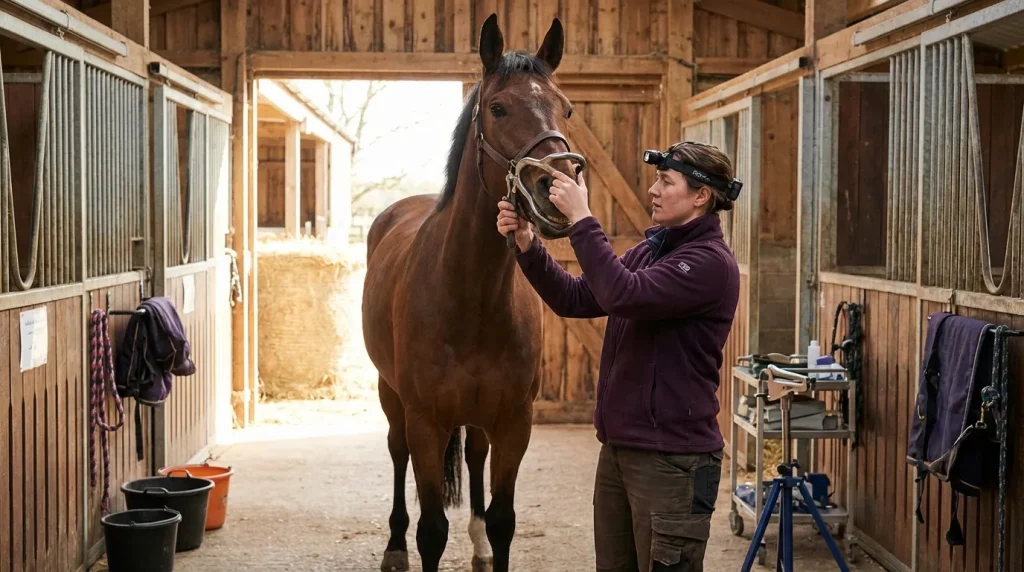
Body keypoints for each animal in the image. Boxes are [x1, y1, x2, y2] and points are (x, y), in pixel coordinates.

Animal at [361, 13, 583, 572]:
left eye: (566, 107)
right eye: (498, 108)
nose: (559, 193)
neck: (470, 297)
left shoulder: (514, 422)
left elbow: (504, 521)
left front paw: (488, 537)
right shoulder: (425, 421)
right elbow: (432, 531)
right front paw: (411, 543)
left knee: (476, 457)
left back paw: (477, 540)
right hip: (391, 396)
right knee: (396, 453)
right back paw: (393, 547)